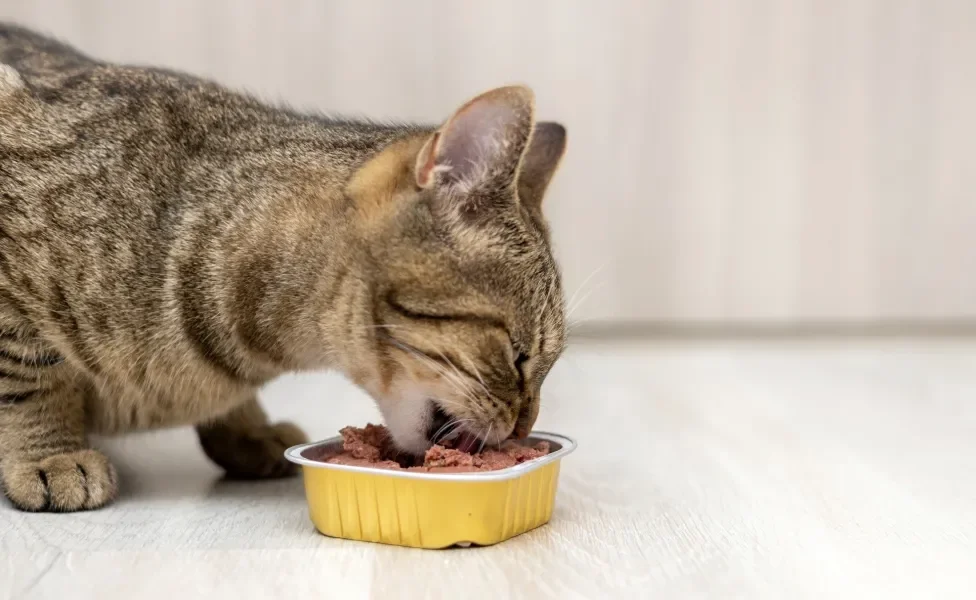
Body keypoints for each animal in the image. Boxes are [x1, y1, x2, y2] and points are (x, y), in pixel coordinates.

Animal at [0, 23, 568, 510]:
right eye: (518, 355)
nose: (525, 428)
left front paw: (248, 430)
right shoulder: (13, 299)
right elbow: (30, 380)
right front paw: (51, 455)